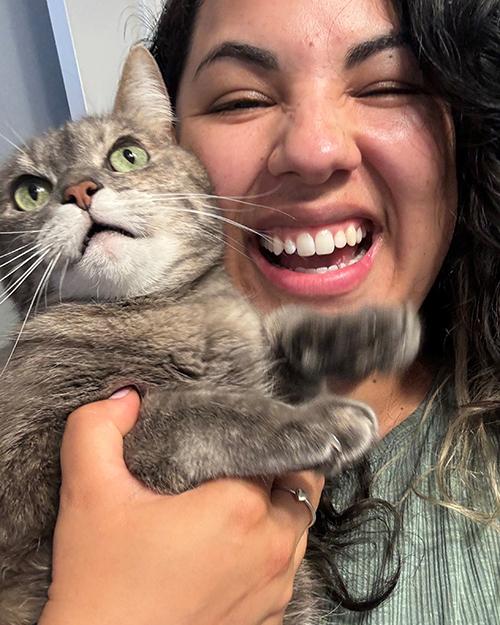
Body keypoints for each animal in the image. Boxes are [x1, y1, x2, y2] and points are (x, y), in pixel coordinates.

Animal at [0, 48, 420, 624]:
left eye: (127, 155)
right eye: (29, 192)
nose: (78, 190)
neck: (169, 313)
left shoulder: (250, 348)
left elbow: (278, 335)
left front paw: (374, 328)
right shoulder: (31, 469)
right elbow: (193, 411)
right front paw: (315, 422)